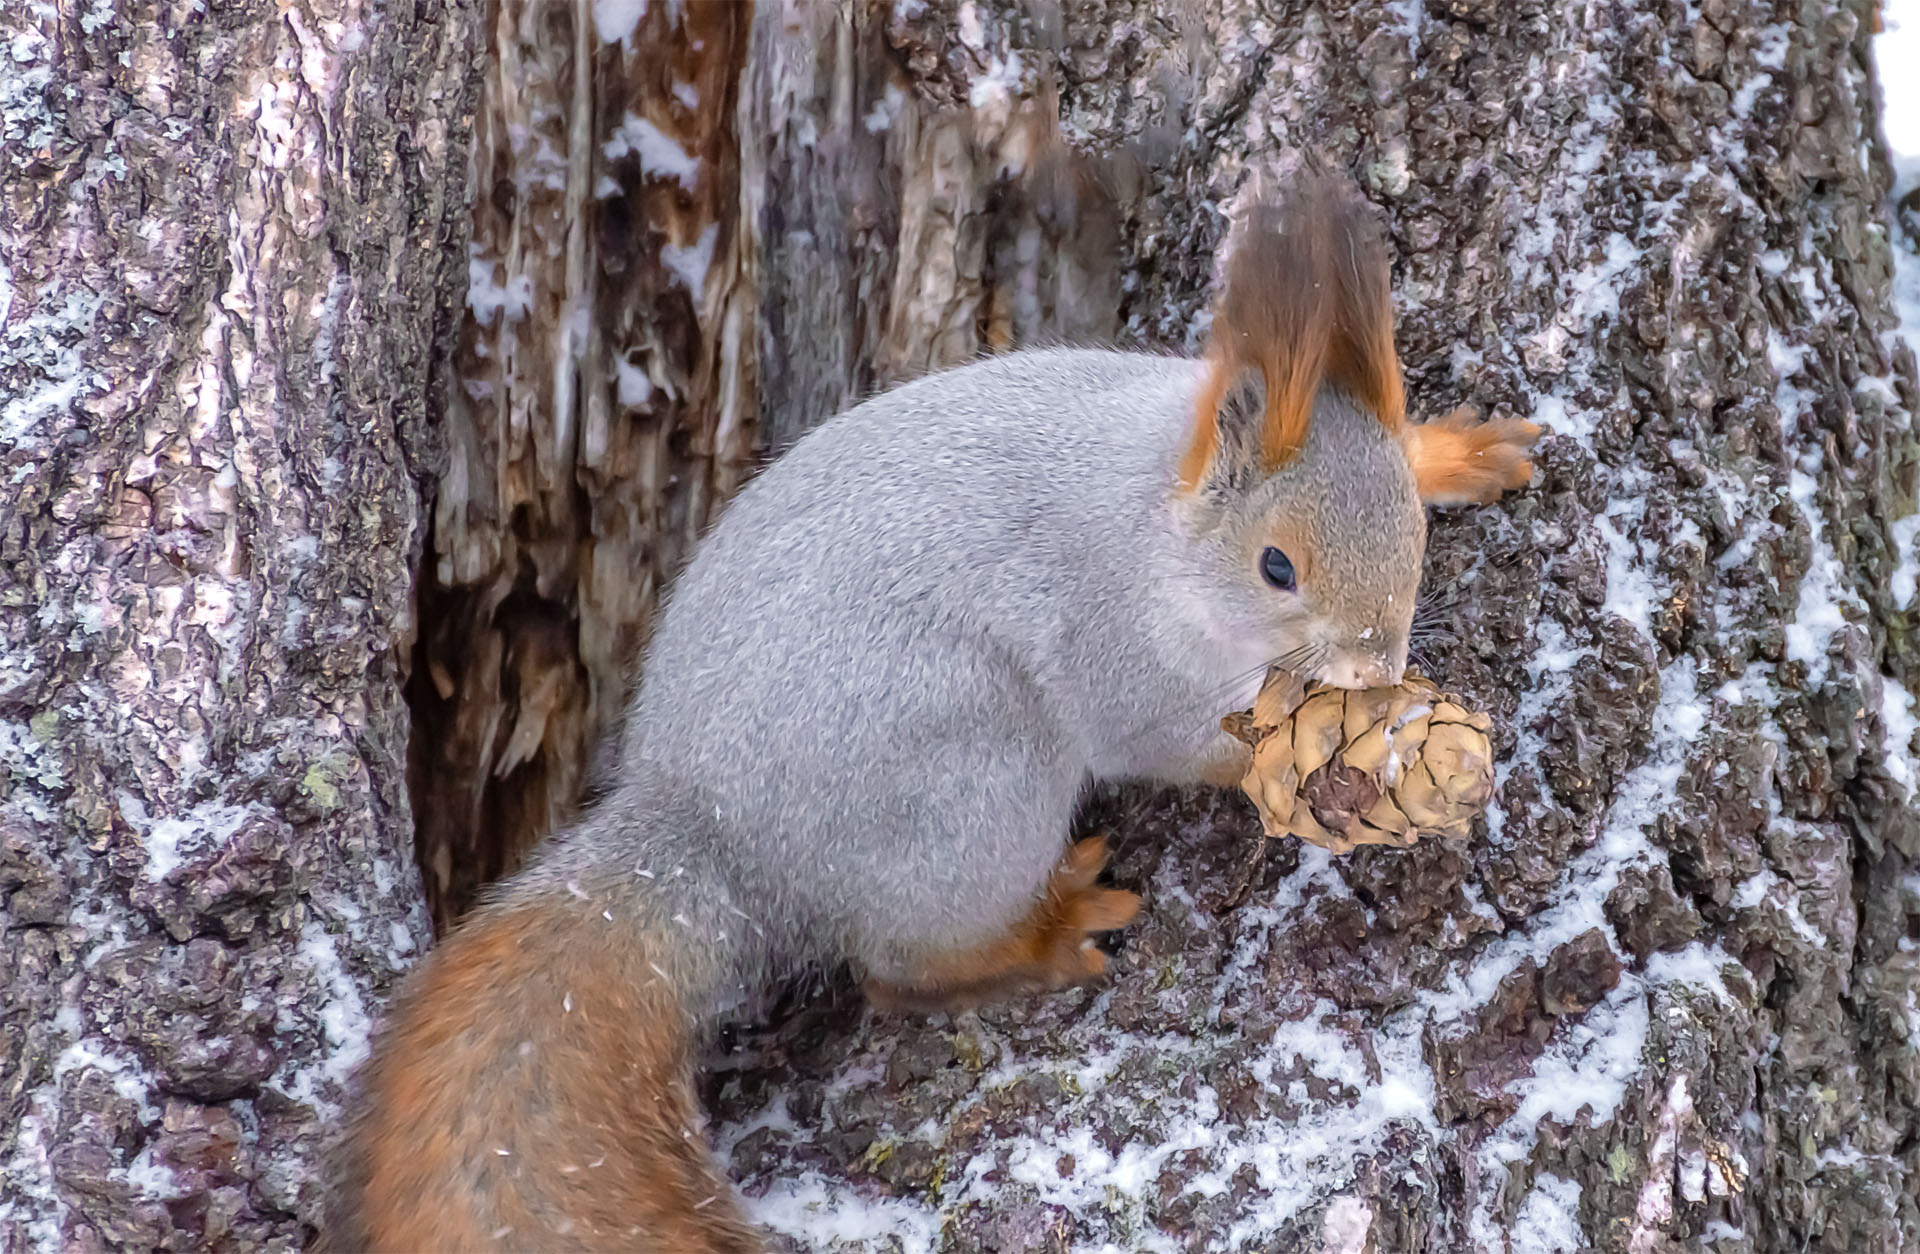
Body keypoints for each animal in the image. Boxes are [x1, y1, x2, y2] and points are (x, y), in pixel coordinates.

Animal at [322, 175, 1536, 1252]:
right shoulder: (1113, 645)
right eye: (1277, 566)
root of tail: (708, 830)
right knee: (896, 969)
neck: (1158, 514)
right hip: (976, 781)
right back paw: (1044, 934)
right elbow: (1160, 738)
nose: (1378, 664)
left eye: (1406, 532)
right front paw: (1282, 769)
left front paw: (1449, 450)